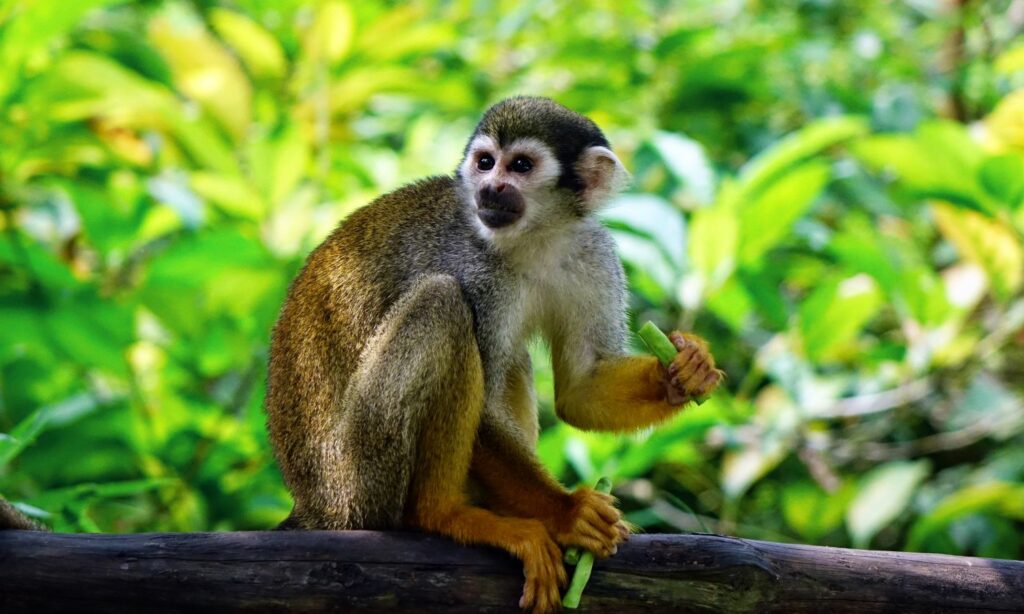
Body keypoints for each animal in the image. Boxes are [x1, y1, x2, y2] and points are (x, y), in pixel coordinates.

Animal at [264, 96, 723, 612]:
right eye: (485, 162)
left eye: (520, 166)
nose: (490, 187)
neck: (534, 239)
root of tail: (313, 505)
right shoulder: (474, 269)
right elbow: (482, 412)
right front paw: (568, 512)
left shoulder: (593, 253)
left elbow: (581, 390)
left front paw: (686, 371)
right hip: (360, 479)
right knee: (443, 303)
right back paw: (443, 515)